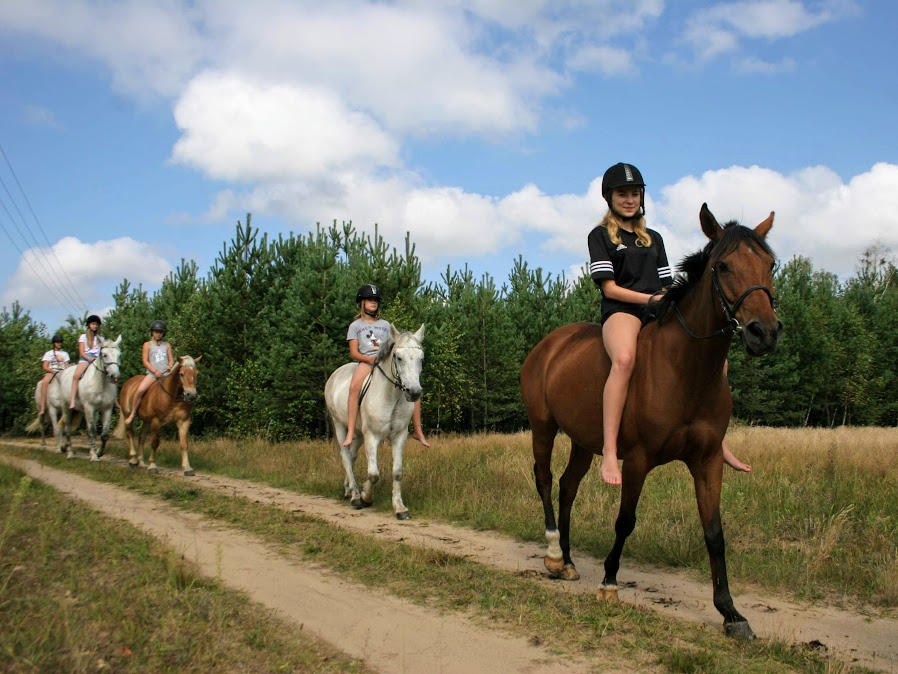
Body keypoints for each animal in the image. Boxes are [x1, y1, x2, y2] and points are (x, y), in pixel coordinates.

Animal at [324, 322, 426, 516]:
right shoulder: (372, 436)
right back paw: (356, 496)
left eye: (421, 359)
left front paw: (399, 507)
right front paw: (366, 496)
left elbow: (397, 472)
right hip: (340, 425)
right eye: (398, 358)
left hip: (358, 433)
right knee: (345, 455)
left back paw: (349, 489)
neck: (391, 397)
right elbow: (373, 474)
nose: (414, 392)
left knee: (352, 455)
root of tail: (335, 374)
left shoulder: (399, 436)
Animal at [520, 203, 780, 636]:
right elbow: (625, 520)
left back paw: (569, 562)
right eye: (723, 266)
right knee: (543, 479)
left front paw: (731, 612)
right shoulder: (638, 460)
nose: (766, 333)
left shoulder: (708, 461)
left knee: (567, 487)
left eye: (770, 264)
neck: (685, 368)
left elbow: (714, 532)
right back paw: (554, 554)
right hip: (543, 427)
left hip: (583, 442)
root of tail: (550, 344)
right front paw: (609, 582)